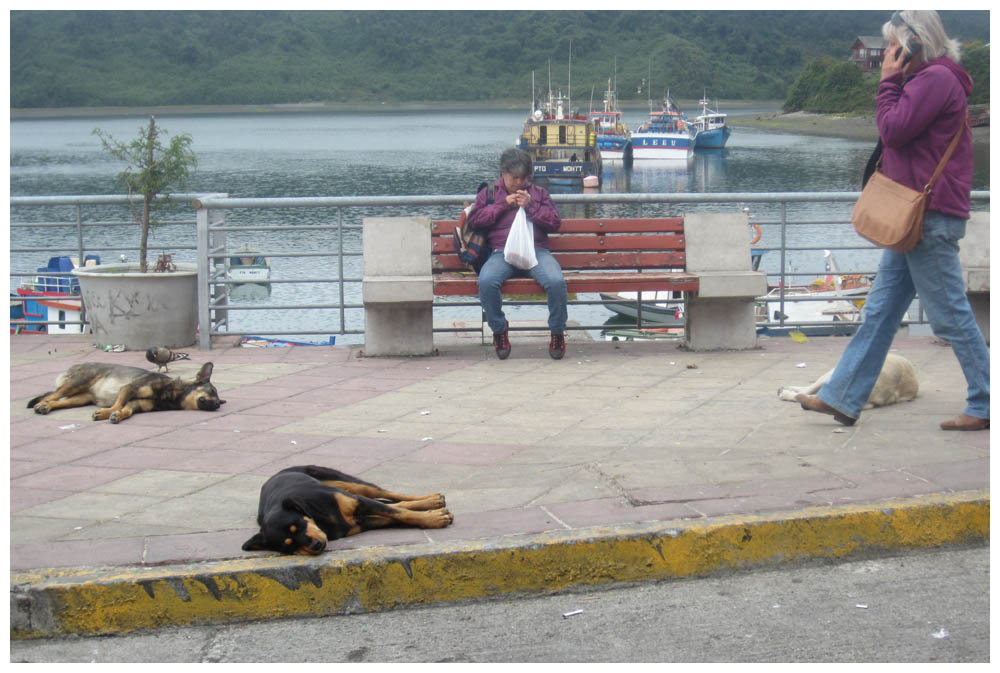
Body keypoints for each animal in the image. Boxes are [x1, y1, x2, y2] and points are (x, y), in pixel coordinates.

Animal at [26, 360, 226, 422]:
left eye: (218, 402)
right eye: (212, 391)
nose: (217, 404)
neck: (172, 396)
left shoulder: (136, 404)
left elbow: (126, 410)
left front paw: (117, 415)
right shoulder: (129, 389)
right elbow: (117, 405)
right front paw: (107, 413)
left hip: (79, 399)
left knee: (57, 401)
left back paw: (46, 407)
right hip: (76, 383)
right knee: (53, 394)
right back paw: (41, 404)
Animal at [242, 464, 454, 552]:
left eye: (298, 525)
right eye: (290, 546)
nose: (315, 545)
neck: (320, 519)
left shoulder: (359, 502)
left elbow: (402, 514)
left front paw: (433, 518)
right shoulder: (362, 522)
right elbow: (399, 515)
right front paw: (433, 516)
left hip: (344, 482)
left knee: (386, 493)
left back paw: (432, 499)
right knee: (393, 503)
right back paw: (432, 504)